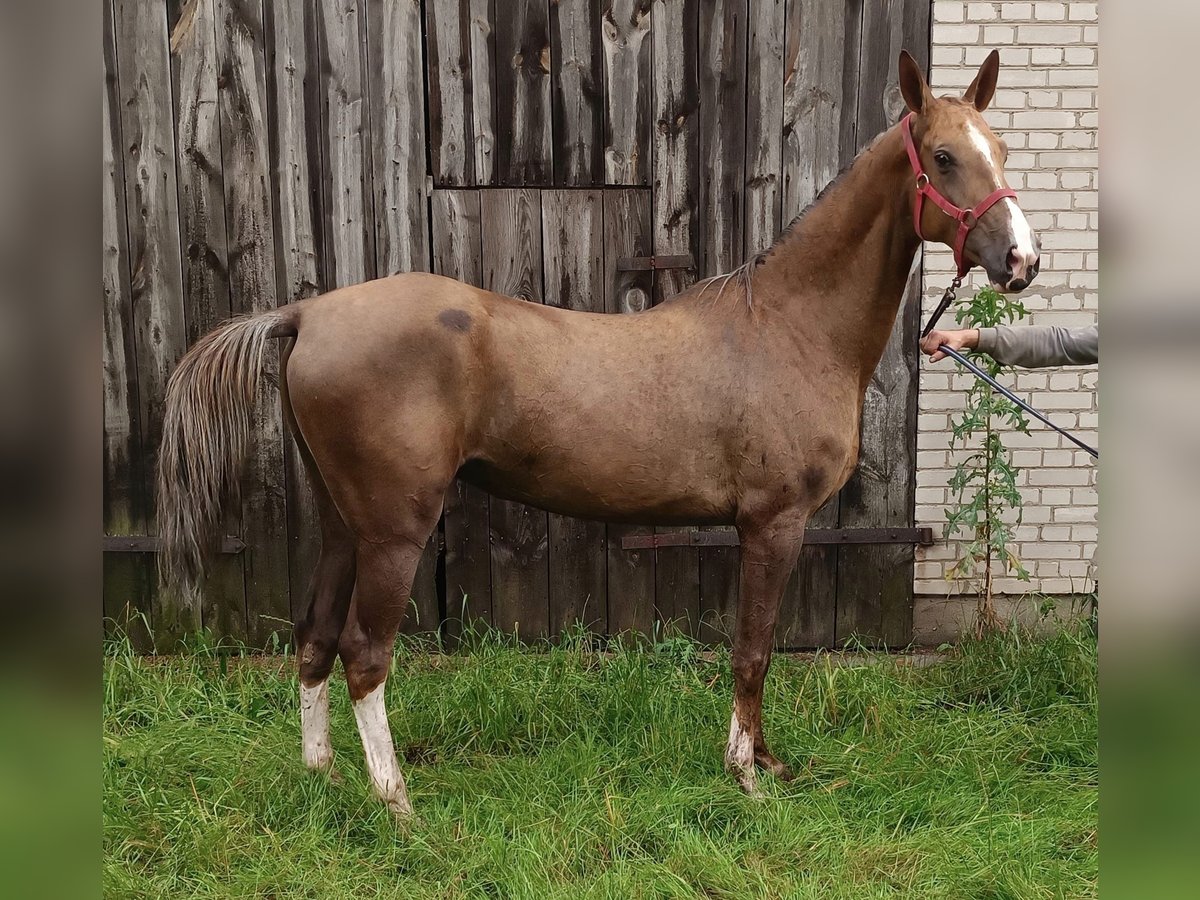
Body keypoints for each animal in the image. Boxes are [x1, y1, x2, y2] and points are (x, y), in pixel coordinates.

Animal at [157, 52, 1041, 820]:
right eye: (943, 156)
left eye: (1000, 149)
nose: (1022, 261)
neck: (788, 325)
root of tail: (306, 314)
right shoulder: (774, 524)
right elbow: (754, 649)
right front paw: (747, 778)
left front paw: (767, 760)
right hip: (393, 532)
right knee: (364, 654)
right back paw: (397, 803)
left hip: (345, 524)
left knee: (312, 639)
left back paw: (324, 777)